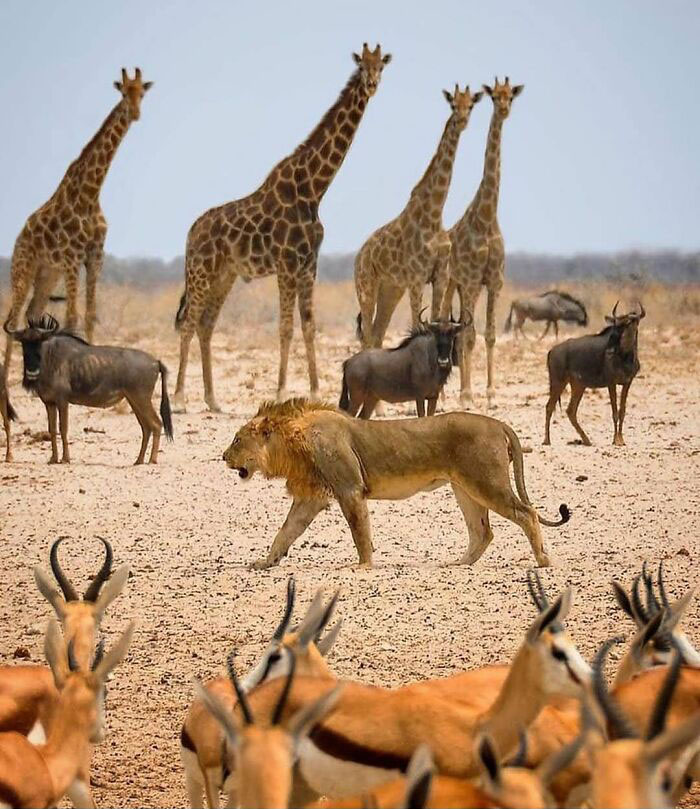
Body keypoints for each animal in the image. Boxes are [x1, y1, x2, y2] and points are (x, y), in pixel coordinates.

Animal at [223, 398, 570, 569]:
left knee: (527, 514)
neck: (292, 443)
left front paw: (363, 566)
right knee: (482, 531)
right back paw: (459, 563)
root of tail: (499, 423)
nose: (223, 456)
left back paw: (542, 561)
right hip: (465, 488)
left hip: (486, 482)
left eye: (237, 440)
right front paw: (266, 562)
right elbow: (285, 531)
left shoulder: (350, 489)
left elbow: (359, 531)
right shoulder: (311, 498)